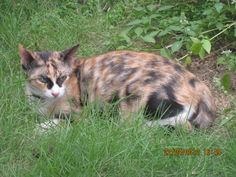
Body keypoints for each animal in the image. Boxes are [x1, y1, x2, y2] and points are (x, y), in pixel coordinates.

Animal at [19, 43, 216, 129]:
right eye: (43, 79)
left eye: (62, 78)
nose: (55, 93)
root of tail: (202, 88)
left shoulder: (80, 112)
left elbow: (66, 120)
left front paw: (42, 128)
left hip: (134, 93)